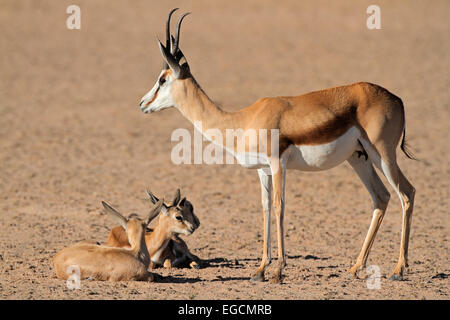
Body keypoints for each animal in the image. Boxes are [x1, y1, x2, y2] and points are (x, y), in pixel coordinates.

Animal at [139, 8, 416, 282]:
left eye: (162, 80)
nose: (142, 103)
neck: (242, 121)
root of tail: (398, 99)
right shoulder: (263, 170)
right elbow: (265, 209)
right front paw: (261, 269)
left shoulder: (277, 163)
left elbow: (279, 207)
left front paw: (278, 270)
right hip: (359, 158)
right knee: (381, 197)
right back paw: (356, 267)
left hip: (383, 155)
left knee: (406, 193)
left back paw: (398, 270)